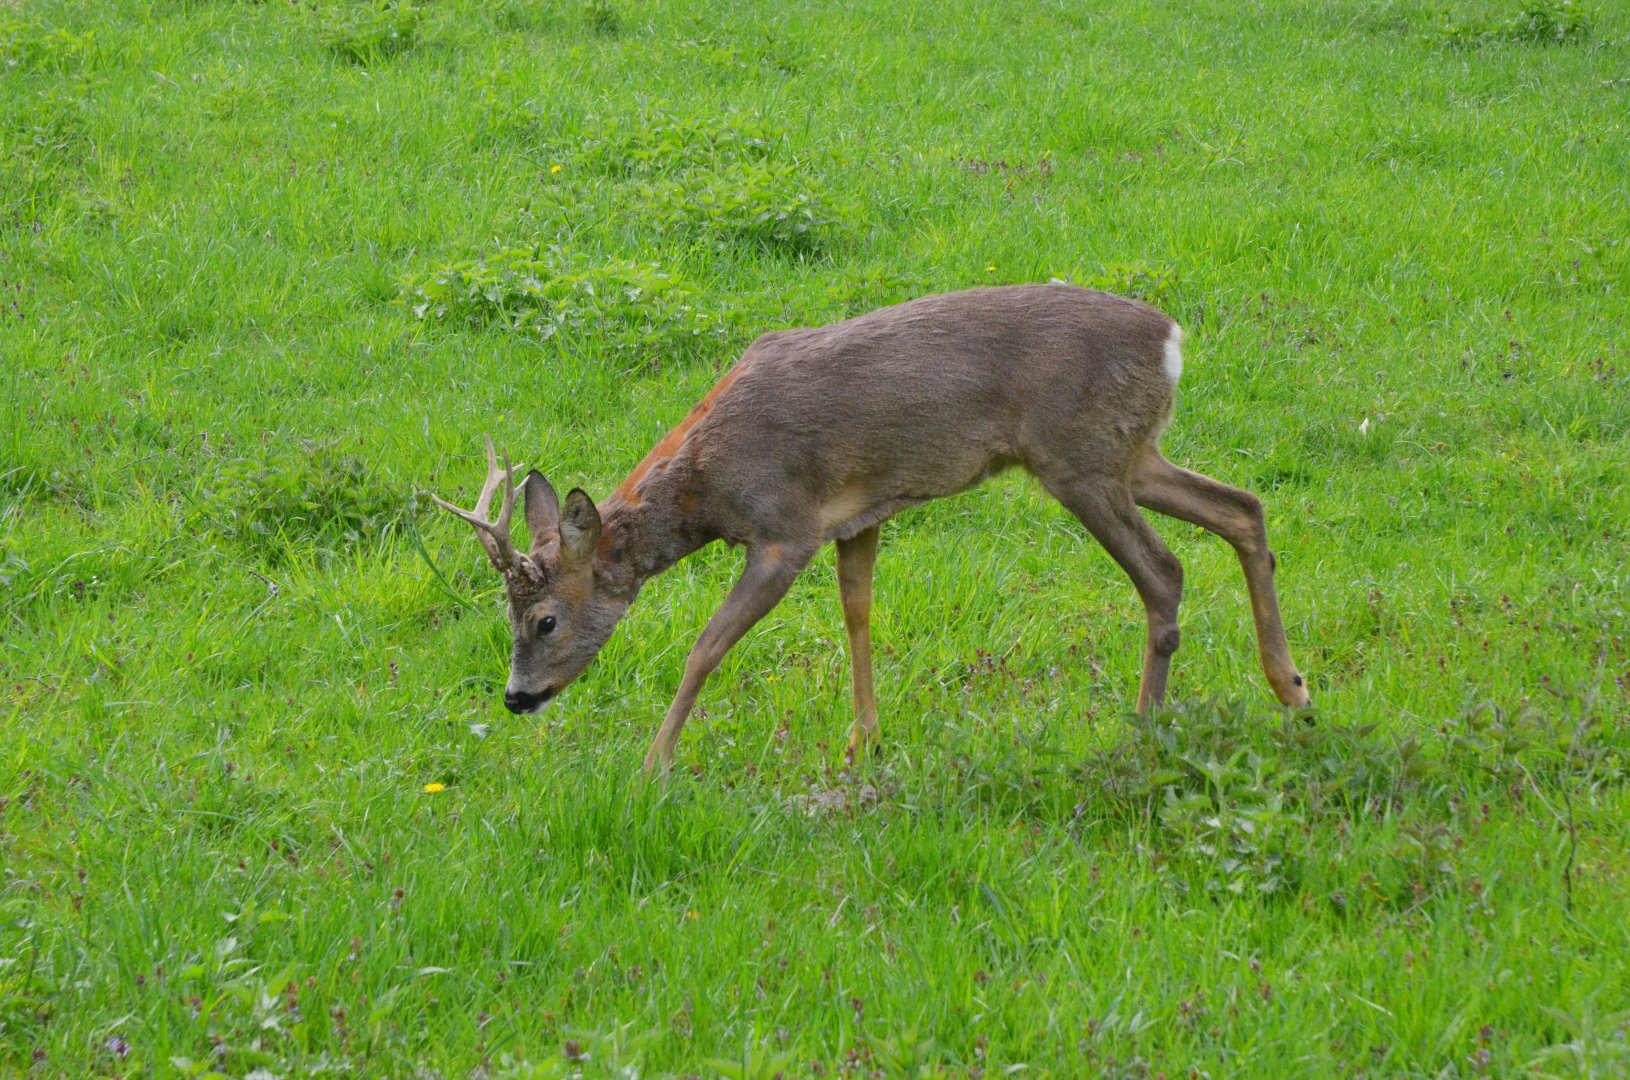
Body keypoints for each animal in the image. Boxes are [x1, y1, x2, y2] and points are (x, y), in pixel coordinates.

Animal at [432, 284, 1311, 775]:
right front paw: (863, 745)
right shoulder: (858, 518)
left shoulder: (784, 530)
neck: (707, 488)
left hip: (1080, 460)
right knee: (1243, 507)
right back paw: (1292, 690)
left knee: (1165, 572)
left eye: (545, 620)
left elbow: (706, 647)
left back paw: (1146, 729)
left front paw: (654, 764)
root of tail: (1171, 341)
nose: (515, 698)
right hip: (1131, 453)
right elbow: (857, 614)